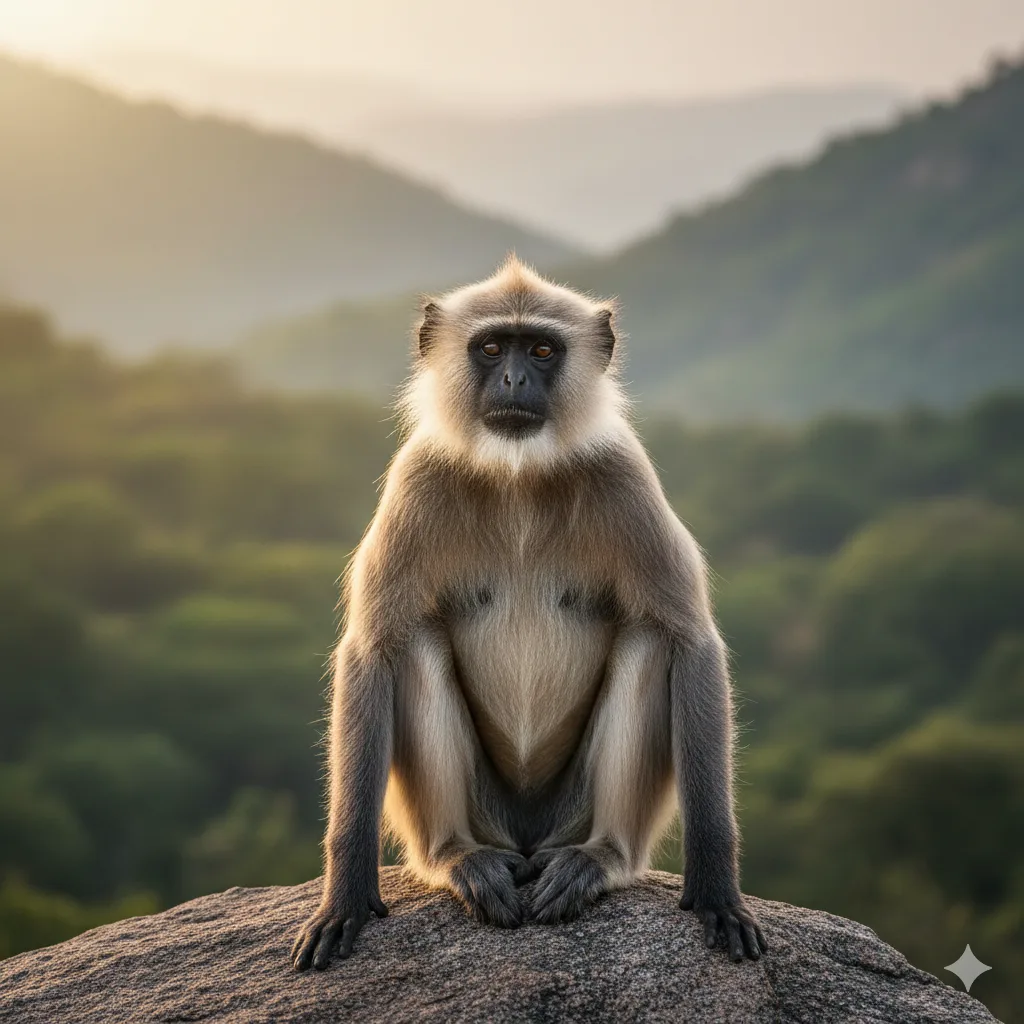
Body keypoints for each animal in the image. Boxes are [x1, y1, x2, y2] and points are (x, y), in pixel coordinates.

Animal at [291, 256, 766, 971]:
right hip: (484, 814)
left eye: (541, 350)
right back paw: (460, 858)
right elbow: (372, 647)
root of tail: (525, 844)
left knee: (650, 642)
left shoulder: (624, 474)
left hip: (568, 814)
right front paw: (345, 896)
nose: (515, 379)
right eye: (492, 348)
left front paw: (716, 890)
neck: (517, 474)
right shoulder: (416, 477)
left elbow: (691, 642)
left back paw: (597, 860)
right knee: (414, 644)